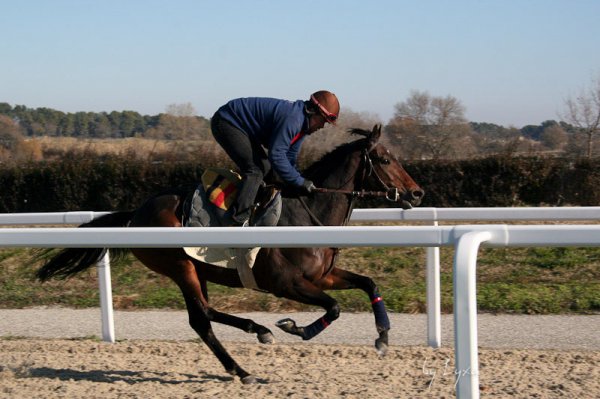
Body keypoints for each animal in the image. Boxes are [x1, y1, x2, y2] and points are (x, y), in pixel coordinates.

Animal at [35, 124, 424, 384]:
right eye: (384, 159)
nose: (417, 193)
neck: (306, 213)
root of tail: (136, 213)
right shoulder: (285, 283)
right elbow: (334, 307)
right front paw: (294, 327)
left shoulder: (322, 276)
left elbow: (369, 284)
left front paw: (383, 337)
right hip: (180, 267)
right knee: (202, 315)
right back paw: (253, 344)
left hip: (196, 270)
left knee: (202, 318)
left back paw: (246, 355)